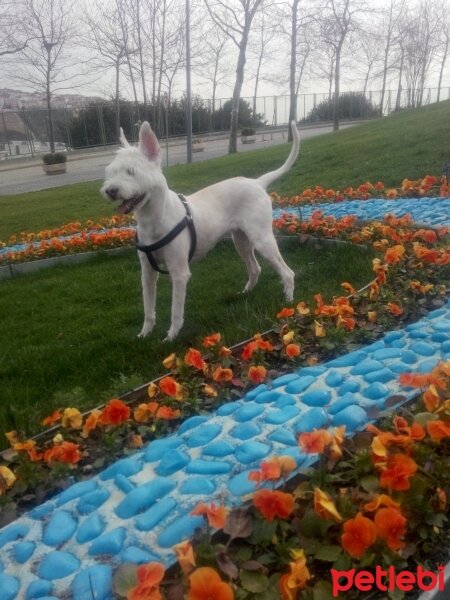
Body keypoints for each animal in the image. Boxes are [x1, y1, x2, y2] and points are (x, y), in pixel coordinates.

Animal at [101, 122, 298, 340]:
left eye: (131, 171)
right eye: (110, 172)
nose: (110, 191)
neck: (154, 219)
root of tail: (257, 182)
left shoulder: (179, 273)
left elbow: (175, 311)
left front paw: (171, 337)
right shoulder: (147, 273)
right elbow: (148, 308)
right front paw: (145, 334)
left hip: (262, 240)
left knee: (288, 272)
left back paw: (288, 302)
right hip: (241, 241)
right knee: (255, 268)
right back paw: (246, 293)